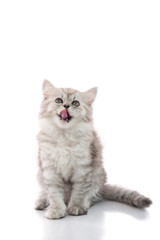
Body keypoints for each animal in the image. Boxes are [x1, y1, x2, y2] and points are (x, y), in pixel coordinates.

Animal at [34, 80, 152, 219]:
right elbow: (53, 193)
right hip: (40, 175)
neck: (65, 135)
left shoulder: (83, 168)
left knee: (92, 196)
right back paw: (41, 201)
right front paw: (56, 209)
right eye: (58, 100)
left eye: (75, 103)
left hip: (98, 176)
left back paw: (84, 204)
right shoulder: (49, 169)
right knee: (45, 192)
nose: (66, 106)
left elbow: (80, 191)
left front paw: (77, 207)